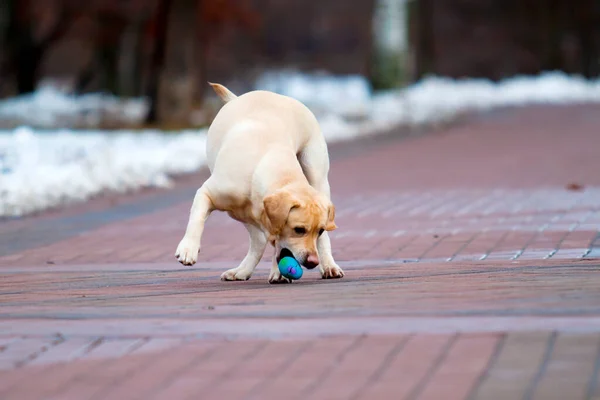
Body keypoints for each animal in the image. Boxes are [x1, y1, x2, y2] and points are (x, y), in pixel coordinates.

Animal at [173, 81, 344, 282]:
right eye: (299, 229)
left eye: (320, 230)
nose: (312, 262)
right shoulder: (207, 193)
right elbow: (196, 219)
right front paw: (188, 249)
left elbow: (279, 244)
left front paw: (279, 272)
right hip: (238, 213)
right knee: (260, 241)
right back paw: (243, 271)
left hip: (318, 177)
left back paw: (326, 266)